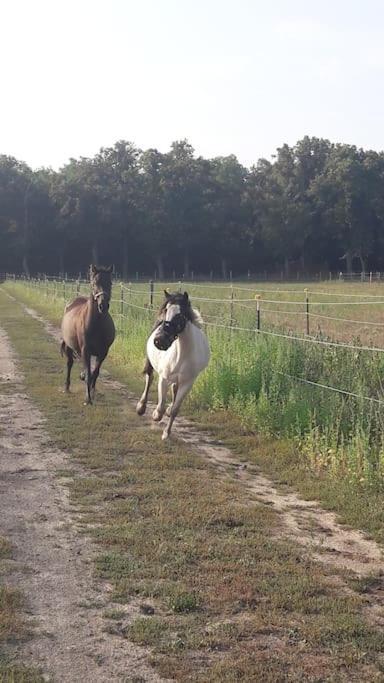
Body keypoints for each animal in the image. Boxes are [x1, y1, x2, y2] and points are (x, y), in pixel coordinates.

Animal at [60, 266, 115, 406]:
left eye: (110, 283)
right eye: (94, 283)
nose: (103, 306)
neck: (97, 324)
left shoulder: (103, 352)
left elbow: (95, 373)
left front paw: (92, 392)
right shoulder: (86, 350)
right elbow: (89, 373)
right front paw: (87, 398)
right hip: (69, 347)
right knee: (69, 363)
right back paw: (66, 387)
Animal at [136, 292, 210, 440]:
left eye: (180, 315)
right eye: (166, 310)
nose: (159, 340)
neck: (182, 355)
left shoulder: (187, 383)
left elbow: (175, 409)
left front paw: (166, 433)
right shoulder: (163, 378)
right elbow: (160, 406)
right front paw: (155, 415)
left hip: (179, 380)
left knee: (174, 389)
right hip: (150, 363)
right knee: (149, 378)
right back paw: (141, 407)